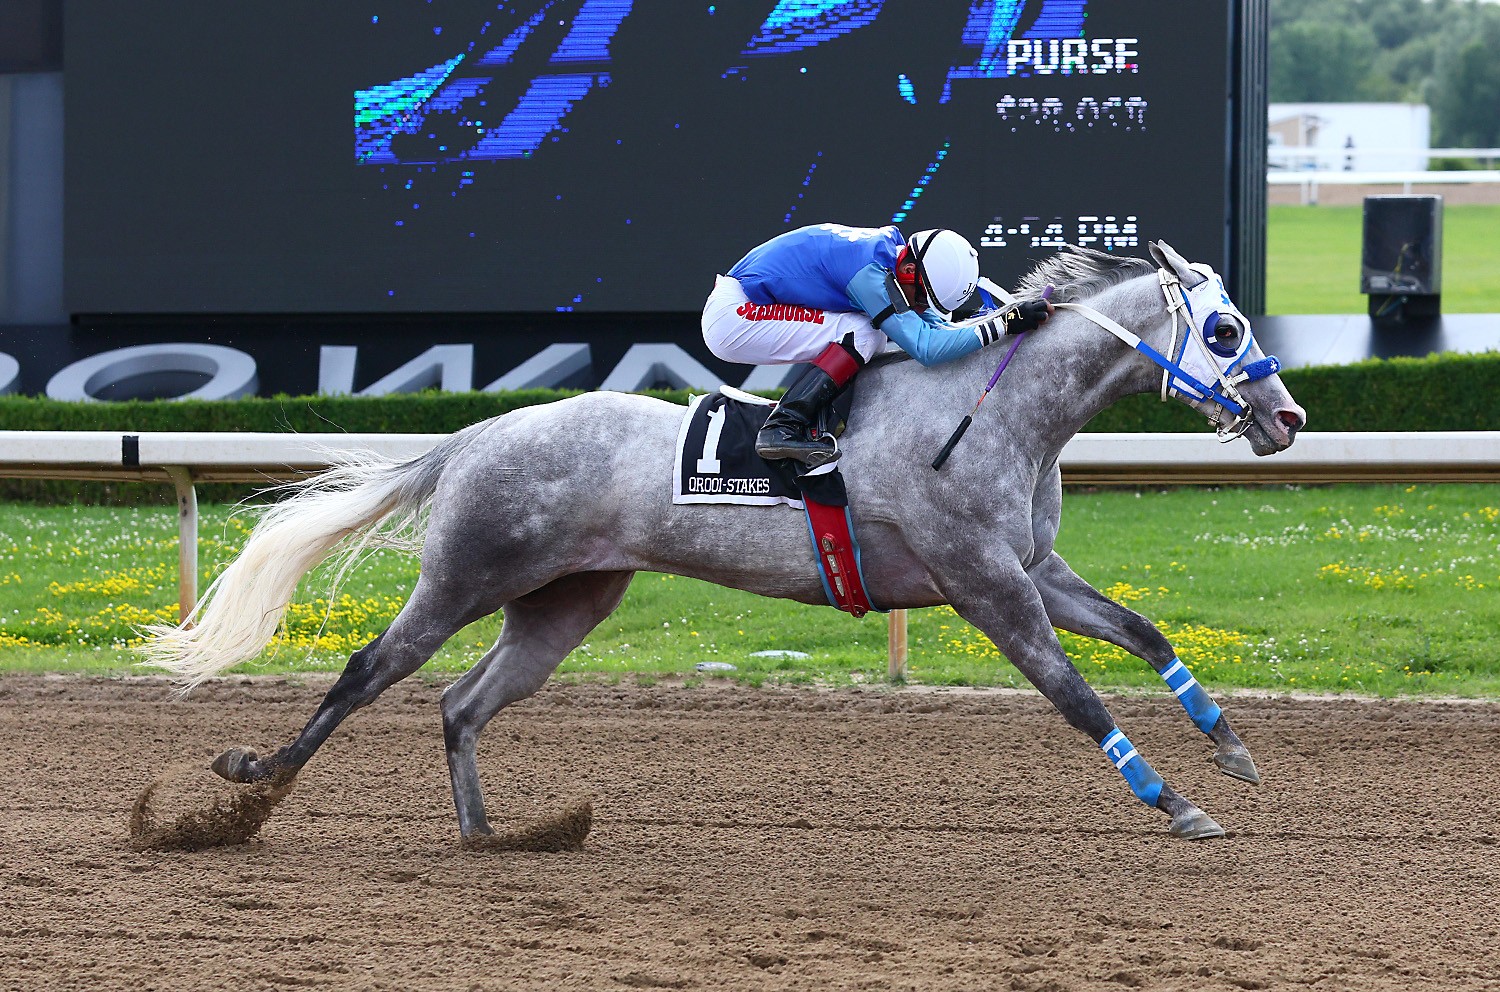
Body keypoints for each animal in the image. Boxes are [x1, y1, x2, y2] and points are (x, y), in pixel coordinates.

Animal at [146, 243, 1308, 840]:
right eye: (1224, 330)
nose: (1287, 417)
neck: (991, 409)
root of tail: (480, 430)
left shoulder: (1034, 570)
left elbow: (1147, 632)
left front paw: (1235, 750)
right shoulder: (984, 585)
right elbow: (1078, 696)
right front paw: (1178, 802)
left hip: (566, 602)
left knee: (461, 703)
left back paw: (491, 832)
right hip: (468, 572)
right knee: (368, 669)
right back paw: (251, 785)